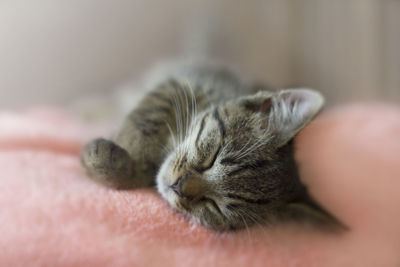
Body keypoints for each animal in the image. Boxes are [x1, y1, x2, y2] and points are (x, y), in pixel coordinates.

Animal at [81, 63, 340, 232]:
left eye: (215, 206)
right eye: (213, 157)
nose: (179, 186)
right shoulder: (181, 84)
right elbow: (146, 120)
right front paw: (123, 164)